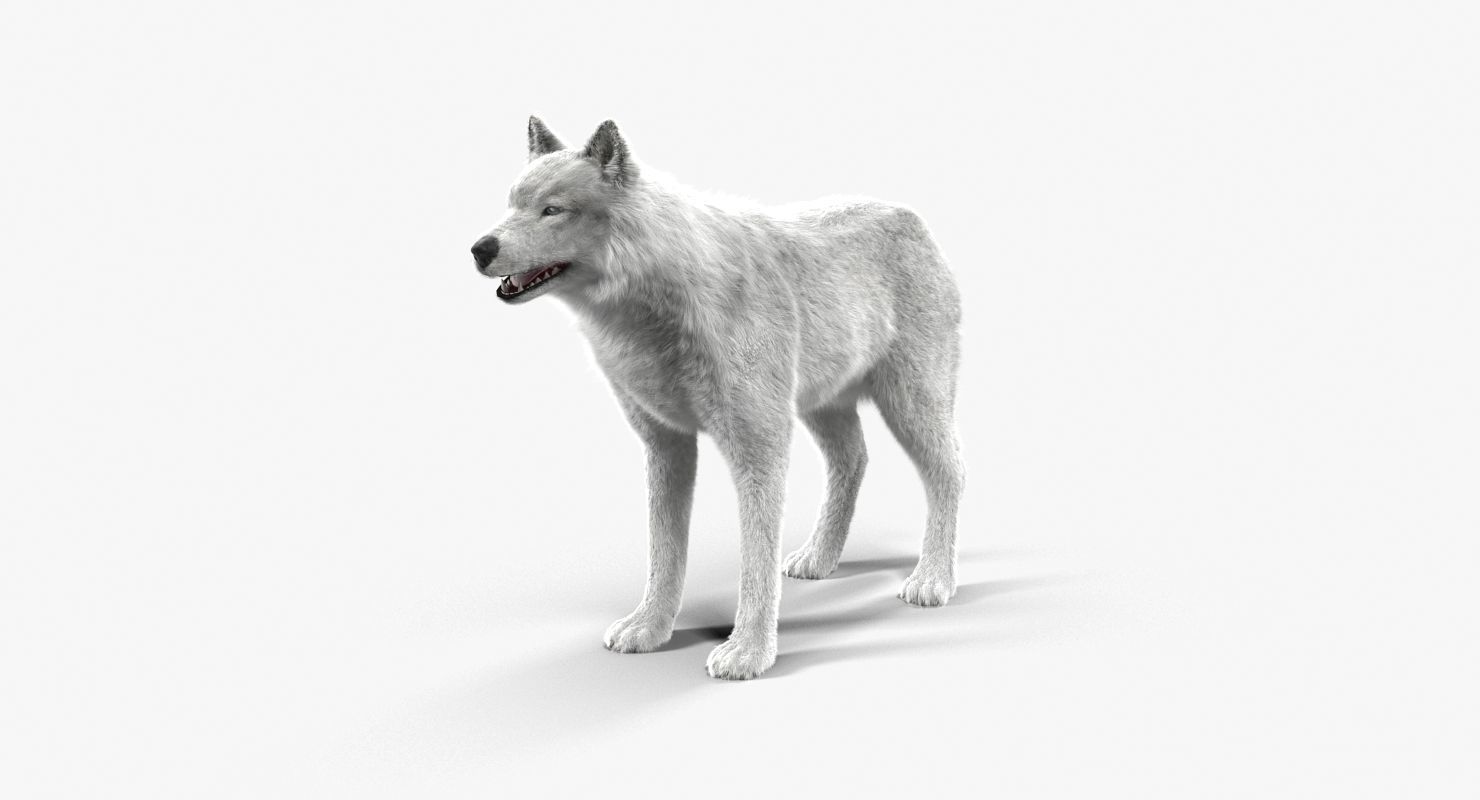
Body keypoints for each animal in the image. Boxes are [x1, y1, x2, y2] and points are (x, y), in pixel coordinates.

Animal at [472, 117, 964, 680]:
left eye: (552, 210)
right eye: (511, 204)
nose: (479, 249)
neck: (656, 303)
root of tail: (910, 215)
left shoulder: (759, 447)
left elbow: (755, 561)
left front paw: (748, 653)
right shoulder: (666, 445)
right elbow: (663, 552)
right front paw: (649, 629)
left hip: (911, 402)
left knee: (950, 472)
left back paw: (933, 580)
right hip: (825, 408)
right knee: (854, 461)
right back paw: (818, 560)